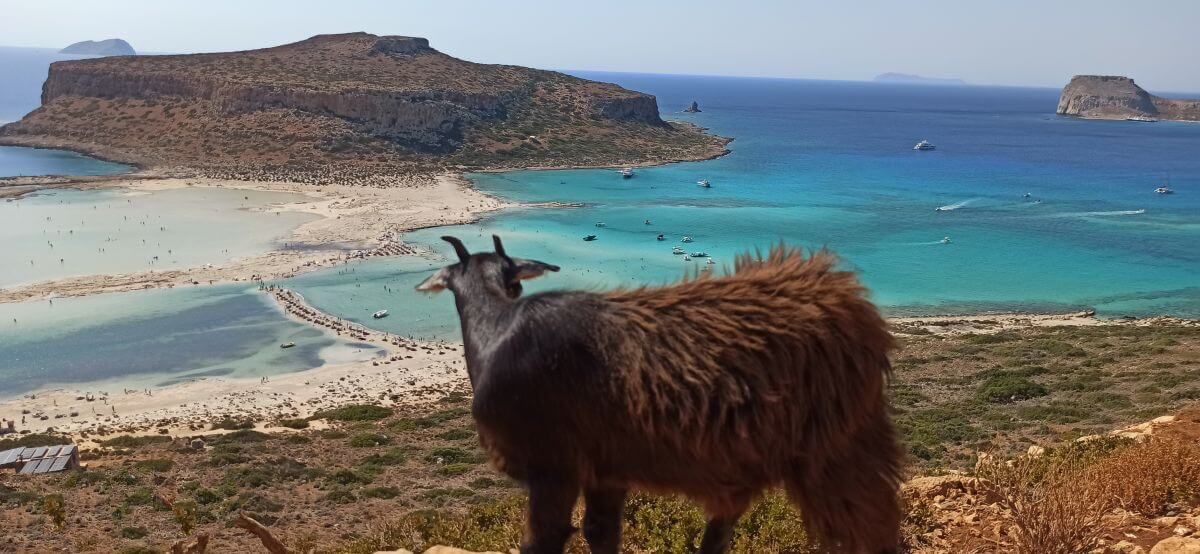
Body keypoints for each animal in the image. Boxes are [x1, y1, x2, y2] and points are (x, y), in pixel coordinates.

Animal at [416, 235, 903, 554]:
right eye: (514, 281)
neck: (498, 331)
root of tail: (850, 302)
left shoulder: (552, 469)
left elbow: (542, 542)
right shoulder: (605, 471)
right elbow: (601, 533)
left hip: (836, 451)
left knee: (871, 530)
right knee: (723, 527)